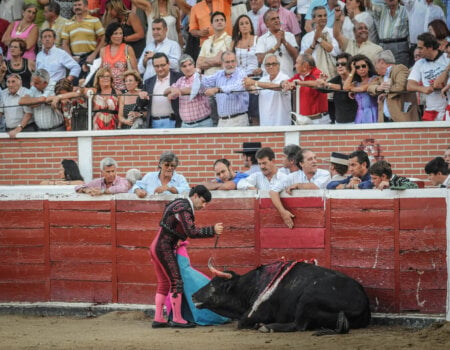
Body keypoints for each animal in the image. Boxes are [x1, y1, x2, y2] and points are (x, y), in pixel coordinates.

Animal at [192, 262, 370, 332]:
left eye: (214, 285)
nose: (193, 296)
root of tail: (362, 301)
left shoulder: (253, 314)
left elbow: (241, 322)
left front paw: (260, 325)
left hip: (308, 297)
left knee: (299, 325)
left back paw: (267, 327)